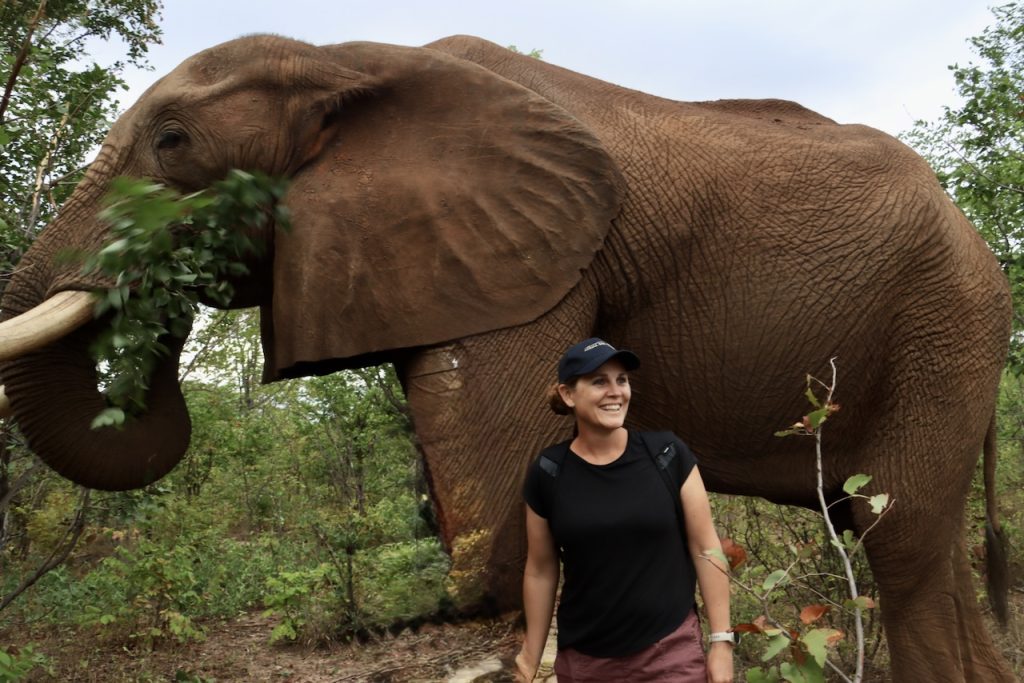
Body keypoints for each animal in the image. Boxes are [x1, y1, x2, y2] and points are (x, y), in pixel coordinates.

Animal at [0, 34, 1013, 681]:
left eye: (173, 144)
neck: (342, 56)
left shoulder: (540, 264)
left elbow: (489, 548)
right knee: (912, 539)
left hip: (948, 327)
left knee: (898, 536)